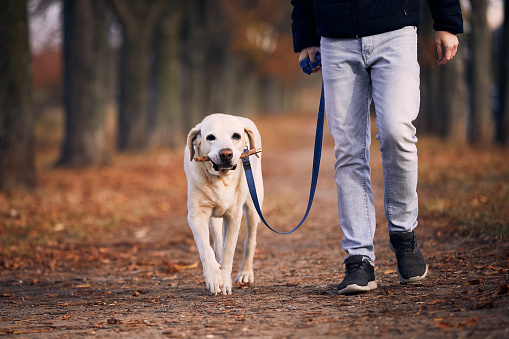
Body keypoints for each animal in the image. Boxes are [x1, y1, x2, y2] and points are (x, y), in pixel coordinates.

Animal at [184, 113, 262, 294]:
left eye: (236, 136)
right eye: (210, 137)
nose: (226, 154)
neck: (221, 179)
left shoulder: (234, 215)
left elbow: (228, 252)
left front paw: (225, 282)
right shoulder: (197, 215)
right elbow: (206, 249)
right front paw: (214, 279)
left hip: (253, 205)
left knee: (250, 240)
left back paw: (245, 273)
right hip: (215, 218)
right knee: (218, 242)